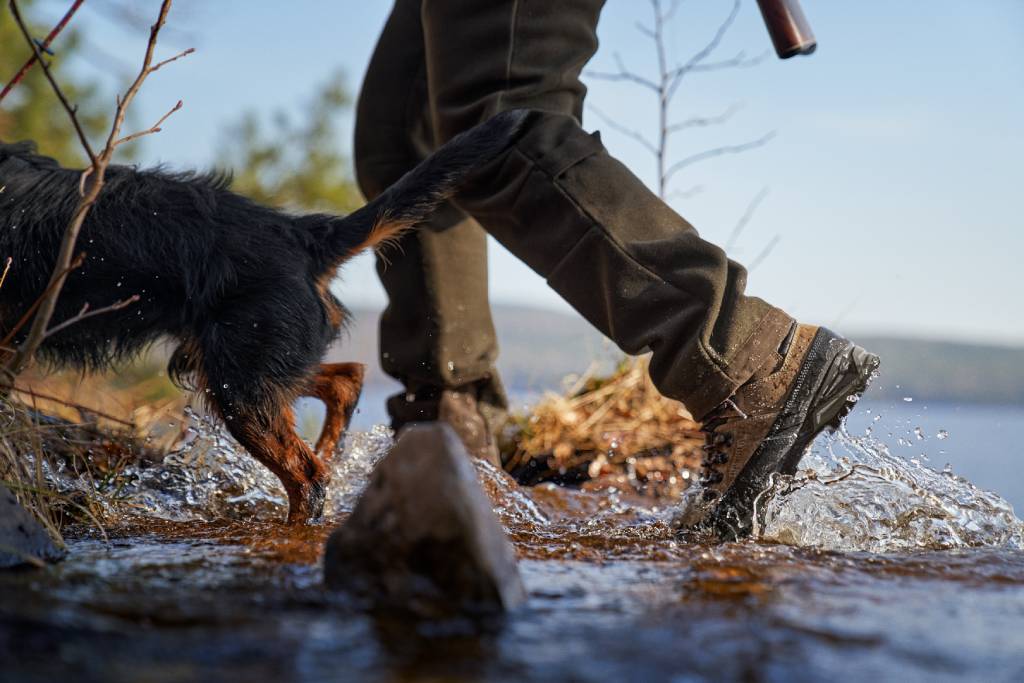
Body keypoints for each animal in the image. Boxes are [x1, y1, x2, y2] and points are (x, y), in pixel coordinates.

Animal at [0, 109, 524, 520]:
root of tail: (305, 237)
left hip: (241, 383)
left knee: (308, 478)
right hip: (249, 364)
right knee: (346, 379)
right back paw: (330, 452)